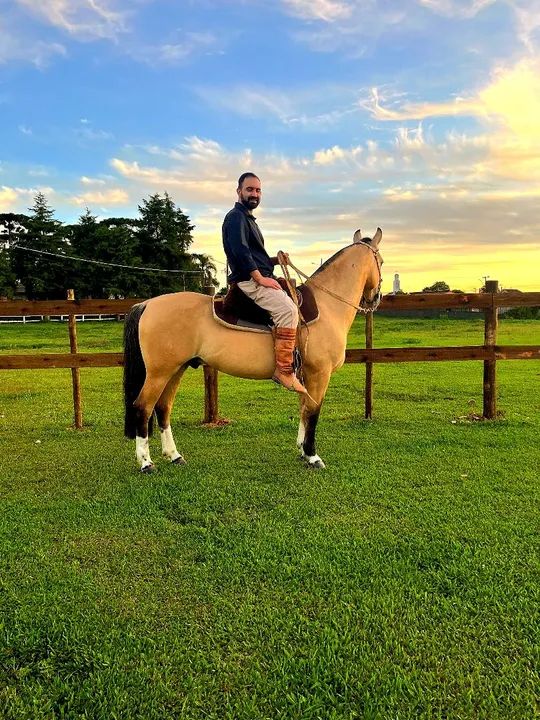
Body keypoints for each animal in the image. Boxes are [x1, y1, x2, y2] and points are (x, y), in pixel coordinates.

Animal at [123, 228, 383, 471]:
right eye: (380, 261)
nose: (376, 297)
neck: (328, 305)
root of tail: (147, 304)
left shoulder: (306, 376)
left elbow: (303, 408)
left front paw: (301, 450)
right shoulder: (319, 374)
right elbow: (312, 412)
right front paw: (312, 455)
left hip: (176, 369)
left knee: (163, 408)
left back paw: (174, 456)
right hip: (159, 373)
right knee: (142, 407)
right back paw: (146, 463)